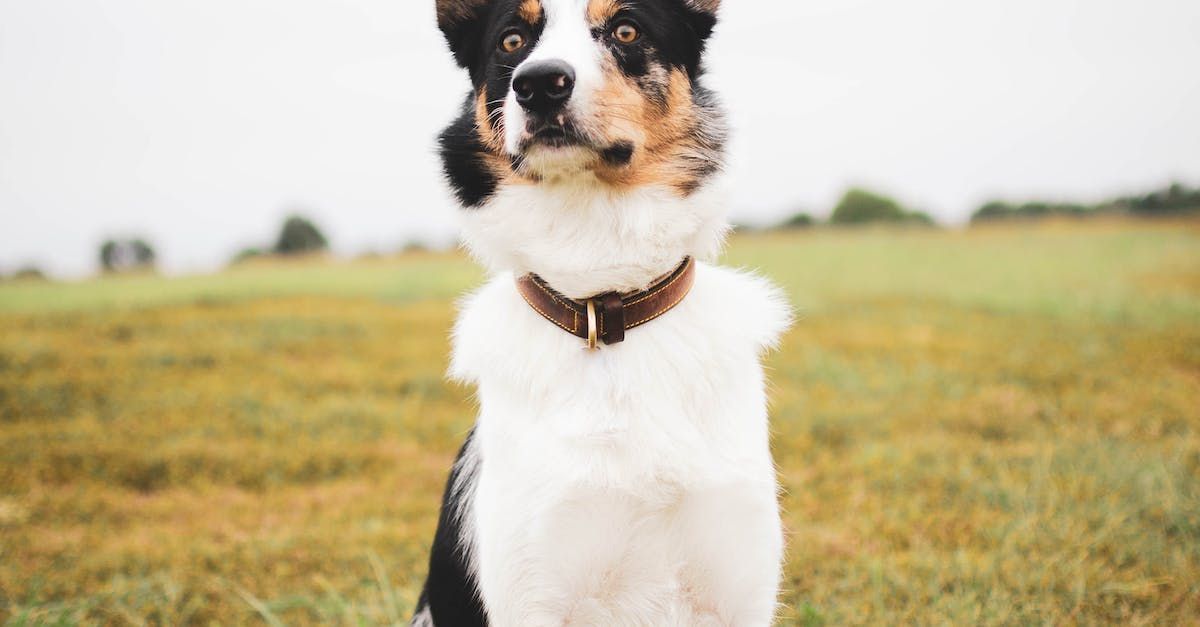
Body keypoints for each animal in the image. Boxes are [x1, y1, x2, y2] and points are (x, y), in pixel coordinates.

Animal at [417, 2, 792, 619]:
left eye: (626, 30)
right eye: (511, 40)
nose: (539, 84)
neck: (604, 304)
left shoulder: (737, 585)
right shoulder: (534, 589)